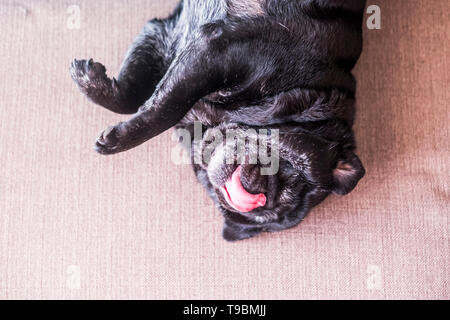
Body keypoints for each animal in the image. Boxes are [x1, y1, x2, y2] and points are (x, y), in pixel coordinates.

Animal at [69, 0, 366, 240]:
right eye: (293, 170)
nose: (259, 192)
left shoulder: (182, 42)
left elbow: (158, 103)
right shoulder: (211, 52)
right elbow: (148, 102)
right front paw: (94, 86)